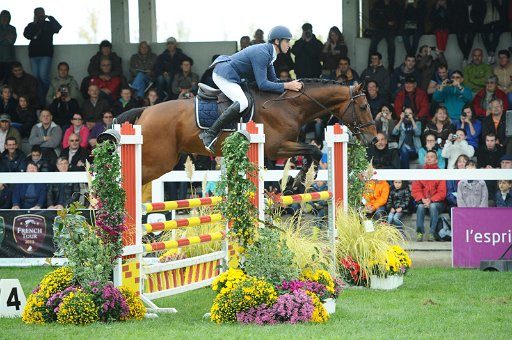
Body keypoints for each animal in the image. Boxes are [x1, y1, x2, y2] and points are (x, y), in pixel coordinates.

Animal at [115, 78, 376, 185]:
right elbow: (313, 149)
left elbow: (313, 151)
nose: (373, 138)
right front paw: (297, 181)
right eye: (364, 107)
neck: (288, 105)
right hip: (158, 161)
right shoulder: (275, 148)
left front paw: (297, 179)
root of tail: (146, 110)